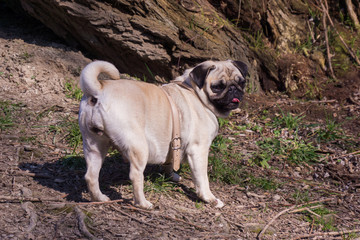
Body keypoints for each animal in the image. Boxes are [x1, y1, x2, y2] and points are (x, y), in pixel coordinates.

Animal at [79, 59, 248, 208]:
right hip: (139, 147)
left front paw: (171, 175)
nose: (234, 89)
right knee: (135, 175)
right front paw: (209, 199)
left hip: (94, 146)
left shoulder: (173, 142)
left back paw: (99, 198)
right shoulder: (198, 150)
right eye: (218, 86)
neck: (194, 92)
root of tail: (99, 90)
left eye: (241, 82)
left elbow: (170, 160)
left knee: (91, 176)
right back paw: (143, 203)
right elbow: (202, 180)